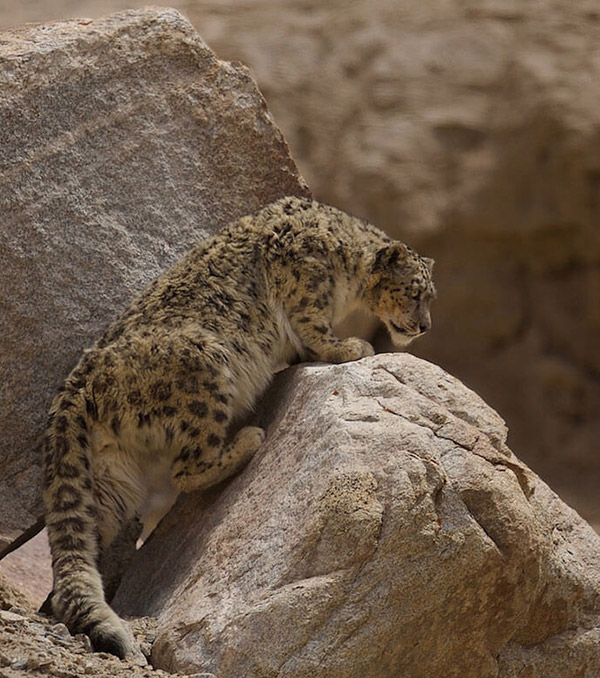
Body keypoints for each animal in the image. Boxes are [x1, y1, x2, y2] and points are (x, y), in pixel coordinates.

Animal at [41, 196, 436, 659]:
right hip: (205, 367)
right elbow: (314, 325)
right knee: (186, 467)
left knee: (88, 535)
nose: (425, 326)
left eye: (429, 295)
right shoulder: (306, 281)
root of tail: (75, 387)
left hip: (109, 474)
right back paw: (248, 439)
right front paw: (349, 346)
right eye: (415, 292)